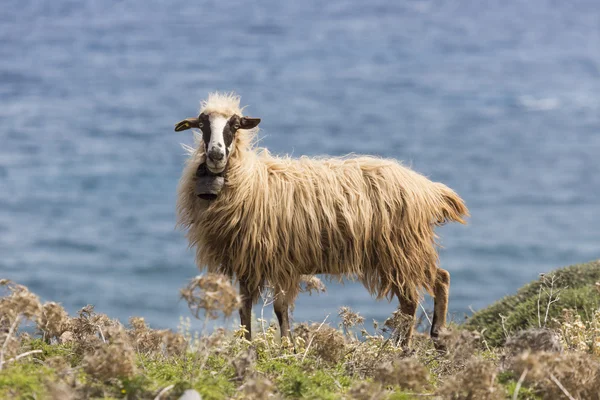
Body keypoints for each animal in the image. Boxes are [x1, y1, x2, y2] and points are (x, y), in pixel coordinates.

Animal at [173, 91, 468, 346]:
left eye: (234, 125)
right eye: (202, 125)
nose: (216, 154)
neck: (251, 180)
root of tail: (428, 189)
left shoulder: (282, 262)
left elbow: (280, 309)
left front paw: (288, 350)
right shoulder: (247, 261)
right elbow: (244, 311)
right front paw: (247, 349)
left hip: (403, 249)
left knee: (426, 289)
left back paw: (412, 345)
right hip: (401, 252)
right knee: (425, 289)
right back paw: (425, 342)